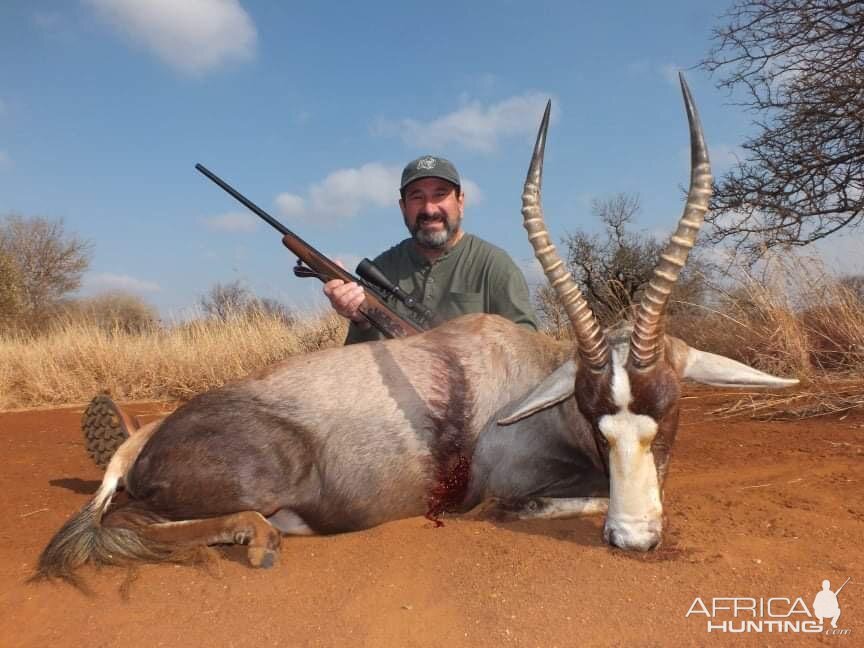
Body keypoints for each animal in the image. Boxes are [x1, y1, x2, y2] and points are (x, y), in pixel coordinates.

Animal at [35, 76, 796, 584]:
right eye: (592, 413)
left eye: (668, 409)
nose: (633, 541)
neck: (522, 375)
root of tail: (144, 444)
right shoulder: (509, 491)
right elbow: (546, 502)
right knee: (125, 524)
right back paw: (259, 538)